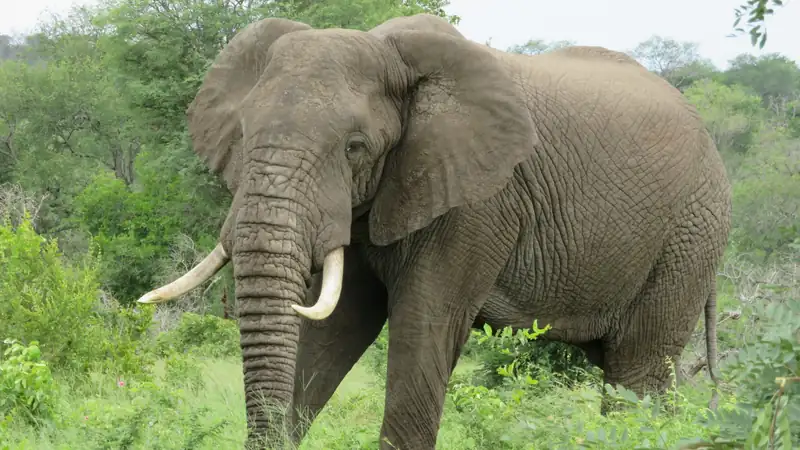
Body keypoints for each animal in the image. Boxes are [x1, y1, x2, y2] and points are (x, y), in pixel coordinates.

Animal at [135, 13, 731, 450]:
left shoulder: (476, 204)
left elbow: (422, 330)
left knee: (638, 370)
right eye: (241, 133)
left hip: (688, 238)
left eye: (355, 148)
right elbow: (329, 333)